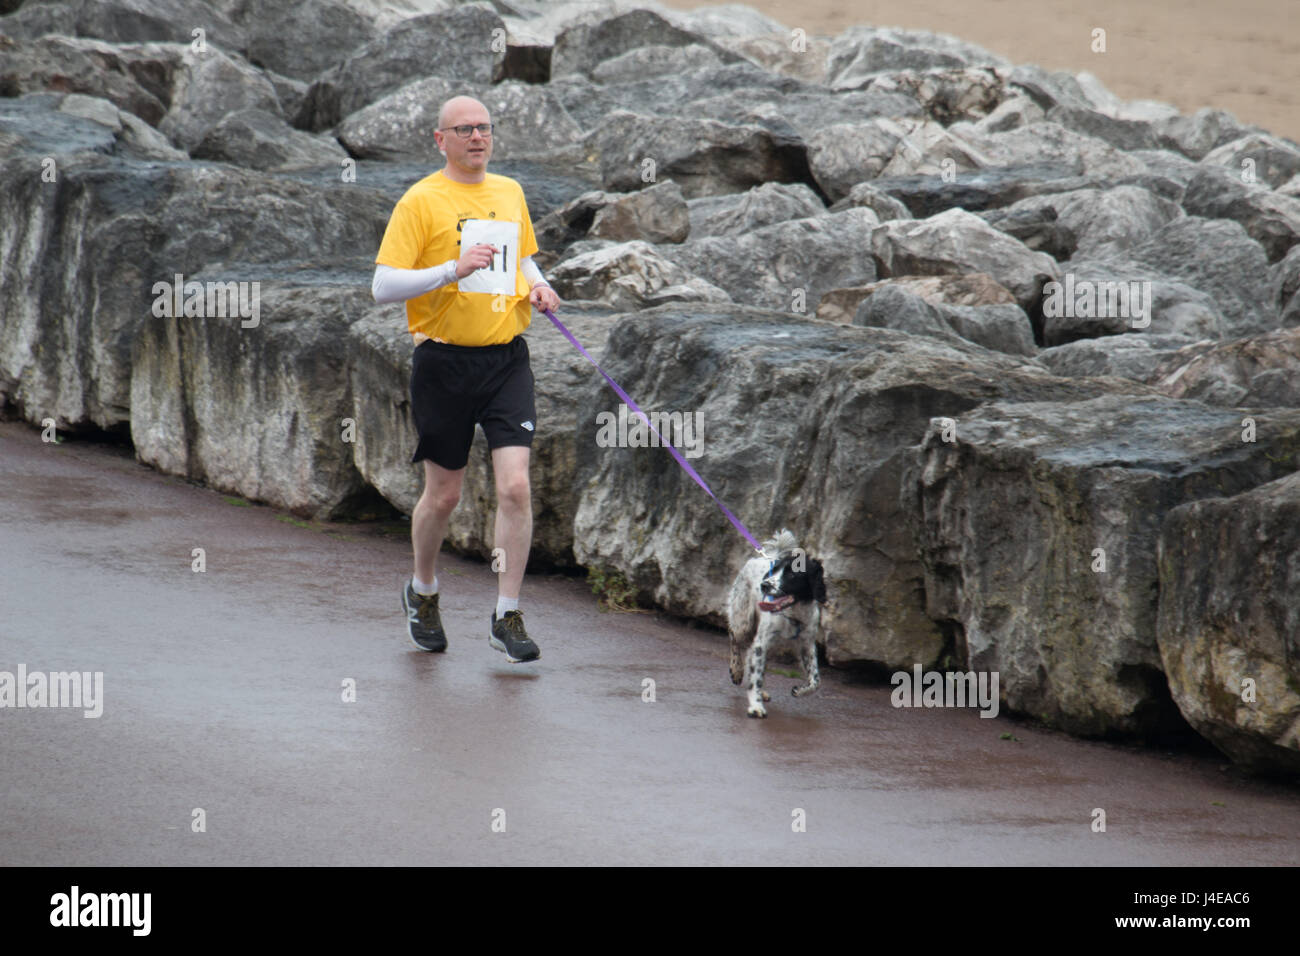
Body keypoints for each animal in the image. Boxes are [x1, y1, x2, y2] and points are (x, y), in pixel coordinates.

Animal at [728, 530, 826, 717]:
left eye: (793, 574)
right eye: (774, 571)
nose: (764, 585)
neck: (793, 616)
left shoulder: (807, 645)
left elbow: (816, 681)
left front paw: (800, 690)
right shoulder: (761, 643)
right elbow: (755, 678)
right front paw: (756, 706)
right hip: (743, 622)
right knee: (734, 638)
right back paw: (736, 670)